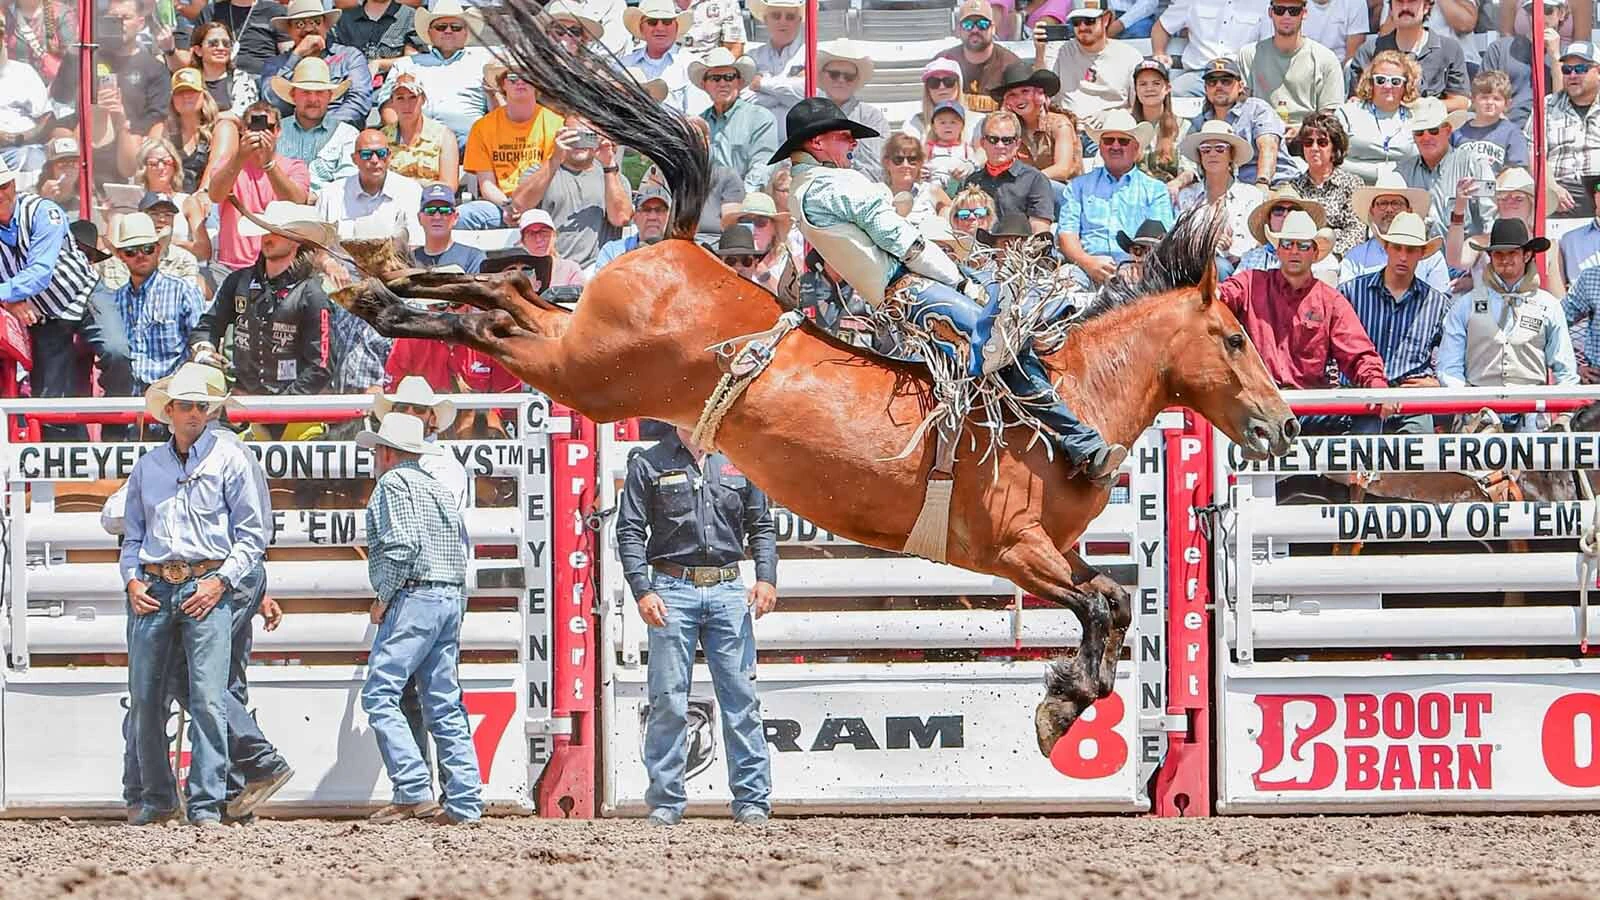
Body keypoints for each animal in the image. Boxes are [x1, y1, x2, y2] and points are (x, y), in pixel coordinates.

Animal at [333, 10, 1298, 757]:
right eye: (1234, 337)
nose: (1284, 427)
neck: (1061, 406)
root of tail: (676, 241)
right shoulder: (1011, 549)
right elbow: (1101, 602)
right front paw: (1061, 705)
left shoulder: (1046, 552)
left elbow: (1115, 600)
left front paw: (1066, 700)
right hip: (588, 375)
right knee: (500, 314)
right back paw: (379, 287)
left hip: (581, 356)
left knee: (507, 295)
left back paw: (378, 281)